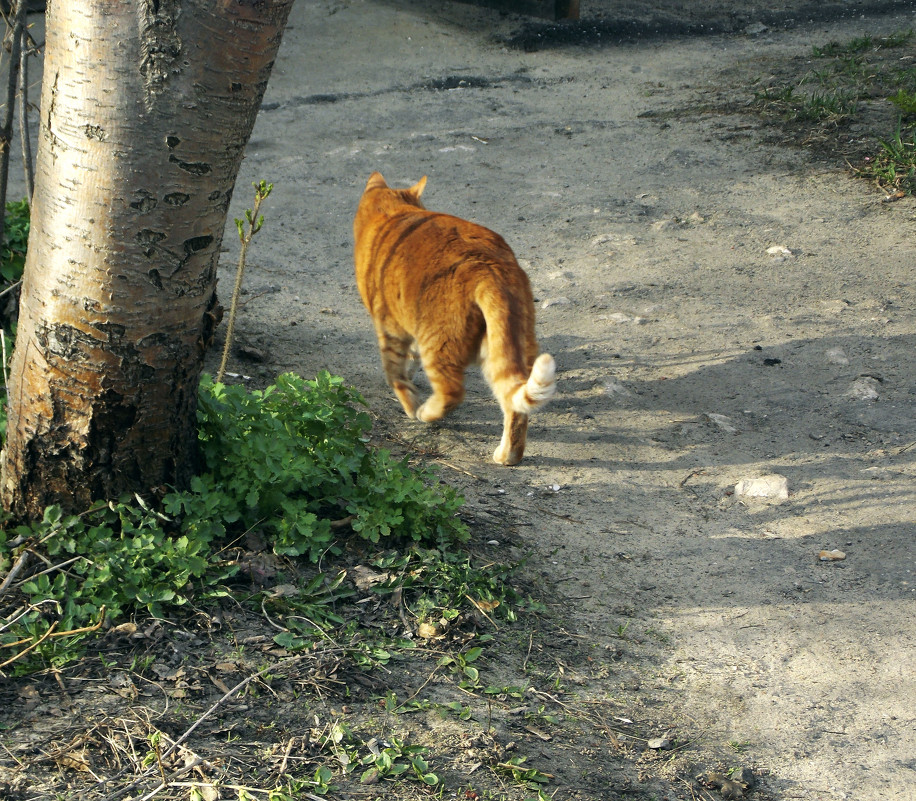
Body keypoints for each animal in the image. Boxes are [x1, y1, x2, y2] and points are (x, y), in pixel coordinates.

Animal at [352, 172, 556, 466]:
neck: (392, 213)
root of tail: (485, 266)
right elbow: (408, 363)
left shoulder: (390, 329)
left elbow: (395, 375)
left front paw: (410, 401)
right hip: (505, 347)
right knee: (514, 406)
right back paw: (508, 456)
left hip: (439, 345)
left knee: (452, 392)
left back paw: (426, 412)